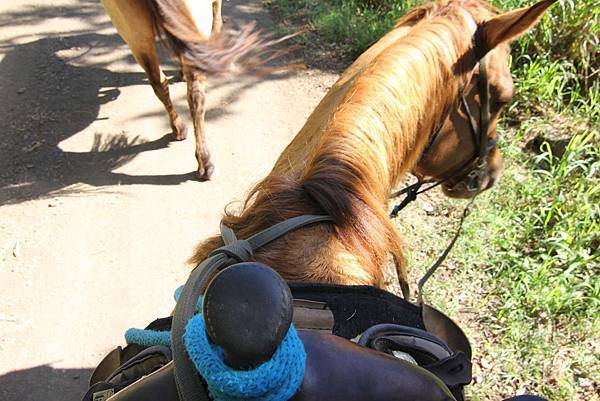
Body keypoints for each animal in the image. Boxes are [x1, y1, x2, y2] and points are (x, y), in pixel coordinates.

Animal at [101, 0, 282, 178]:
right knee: (196, 94)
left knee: (158, 82)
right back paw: (205, 162)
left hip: (135, 33)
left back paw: (179, 129)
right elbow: (217, 21)